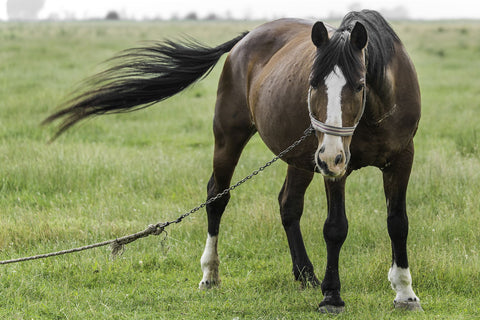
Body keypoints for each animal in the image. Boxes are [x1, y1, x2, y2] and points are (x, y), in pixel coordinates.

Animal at [44, 9, 420, 312]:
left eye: (359, 85)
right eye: (313, 83)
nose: (329, 155)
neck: (376, 113)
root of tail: (247, 38)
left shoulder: (401, 159)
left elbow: (398, 223)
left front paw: (404, 292)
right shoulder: (335, 170)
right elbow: (336, 228)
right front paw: (332, 296)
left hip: (300, 156)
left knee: (289, 205)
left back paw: (305, 275)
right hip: (234, 138)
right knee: (217, 197)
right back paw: (210, 274)